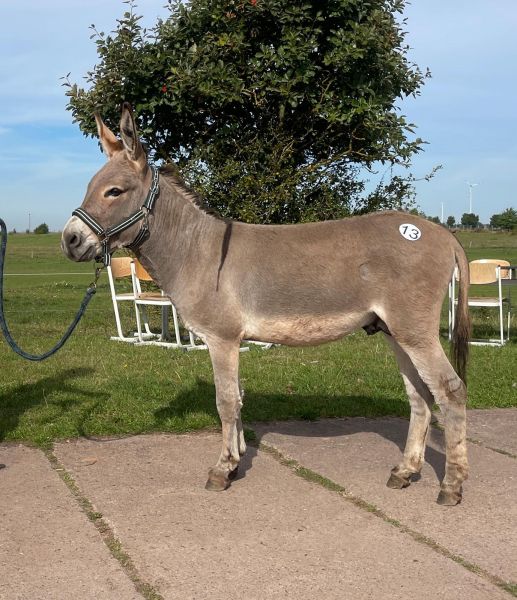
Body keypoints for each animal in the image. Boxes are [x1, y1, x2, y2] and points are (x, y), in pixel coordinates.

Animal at [62, 104, 471, 505]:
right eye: (89, 189)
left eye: (114, 191)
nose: (69, 240)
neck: (196, 250)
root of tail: (443, 233)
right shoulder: (232, 341)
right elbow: (239, 398)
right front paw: (237, 459)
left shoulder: (222, 338)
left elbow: (226, 401)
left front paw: (222, 470)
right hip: (394, 330)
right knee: (420, 395)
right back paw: (406, 472)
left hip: (414, 330)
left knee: (450, 390)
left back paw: (451, 486)